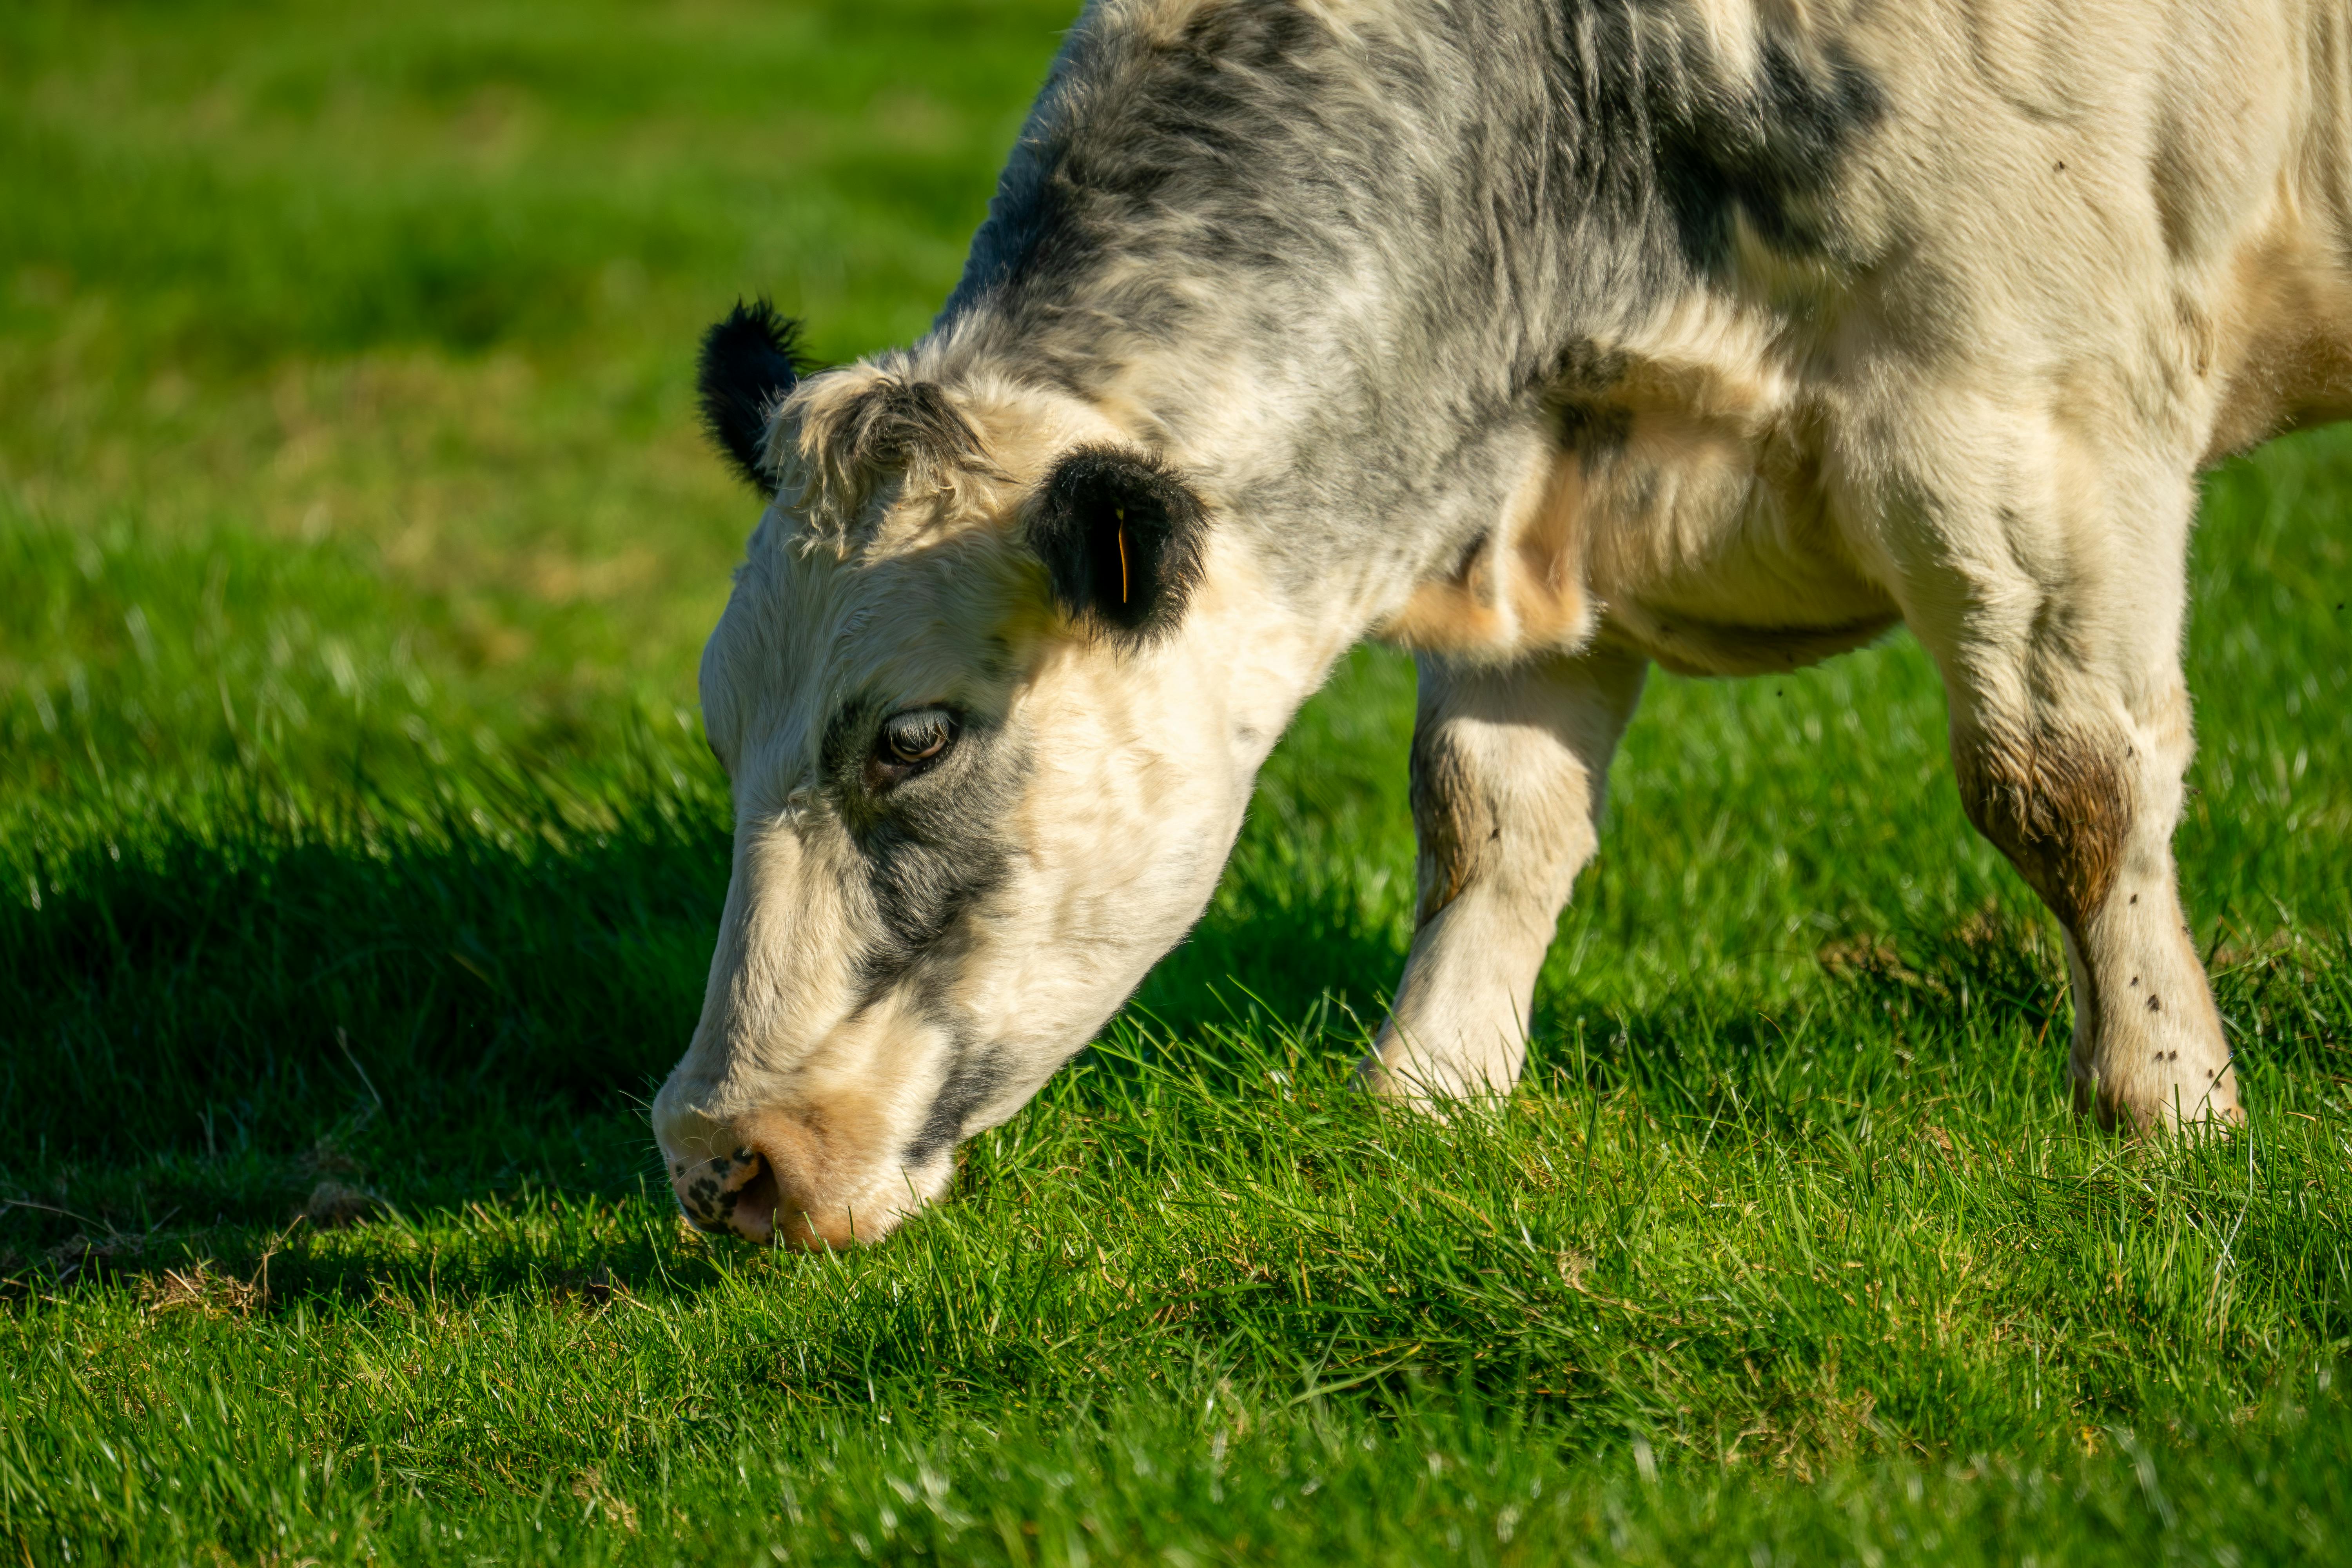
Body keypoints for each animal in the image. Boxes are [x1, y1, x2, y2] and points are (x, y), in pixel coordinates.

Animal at [654, 0, 2343, 1250]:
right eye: (719, 731)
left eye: (915, 737)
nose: (718, 1155)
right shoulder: (1537, 515)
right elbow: (1488, 816)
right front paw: (1426, 1094)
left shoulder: (2031, 424)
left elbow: (2064, 786)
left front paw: (2166, 1102)